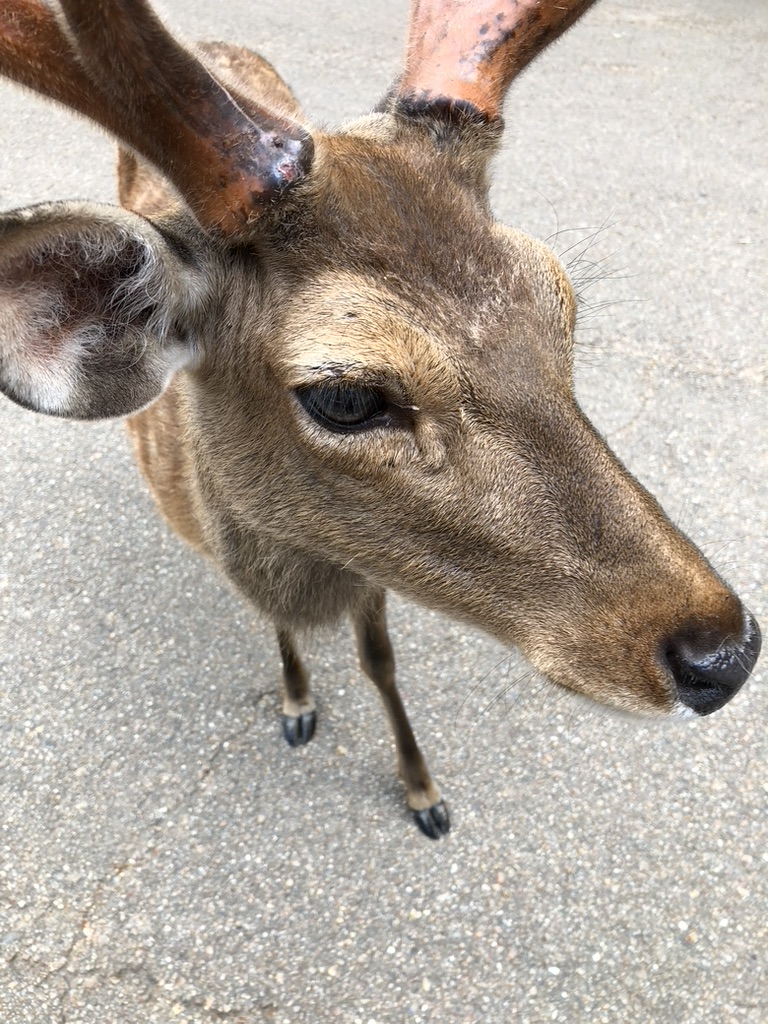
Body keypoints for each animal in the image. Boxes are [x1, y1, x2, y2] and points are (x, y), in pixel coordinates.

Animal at [0, 0, 761, 840]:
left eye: (561, 300)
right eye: (345, 397)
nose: (723, 655)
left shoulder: (371, 573)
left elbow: (381, 663)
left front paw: (424, 792)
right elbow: (279, 634)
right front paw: (298, 706)